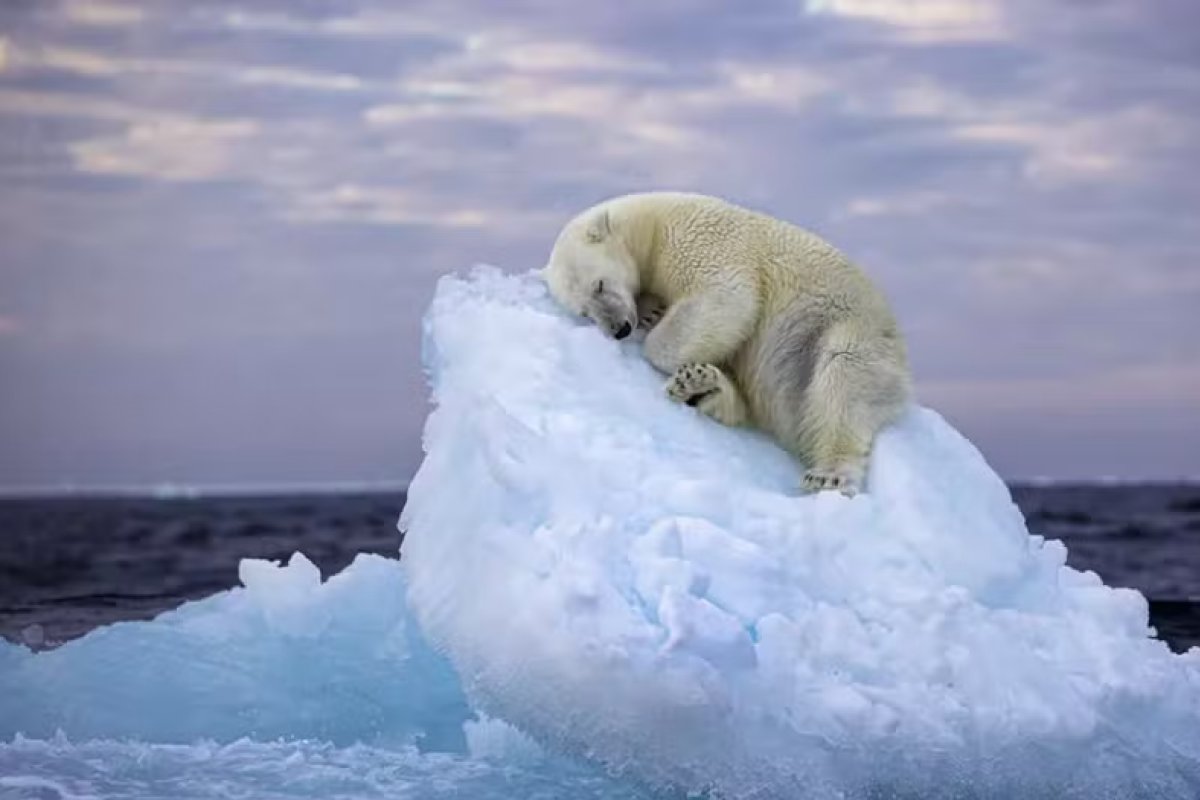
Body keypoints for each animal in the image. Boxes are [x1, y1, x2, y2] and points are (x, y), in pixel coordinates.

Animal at [542, 191, 912, 495]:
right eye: (584, 311)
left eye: (599, 285)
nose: (619, 328)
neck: (651, 224)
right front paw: (652, 312)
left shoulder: (698, 241)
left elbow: (727, 297)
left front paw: (655, 330)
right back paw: (702, 386)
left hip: (850, 330)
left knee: (843, 379)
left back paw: (829, 474)